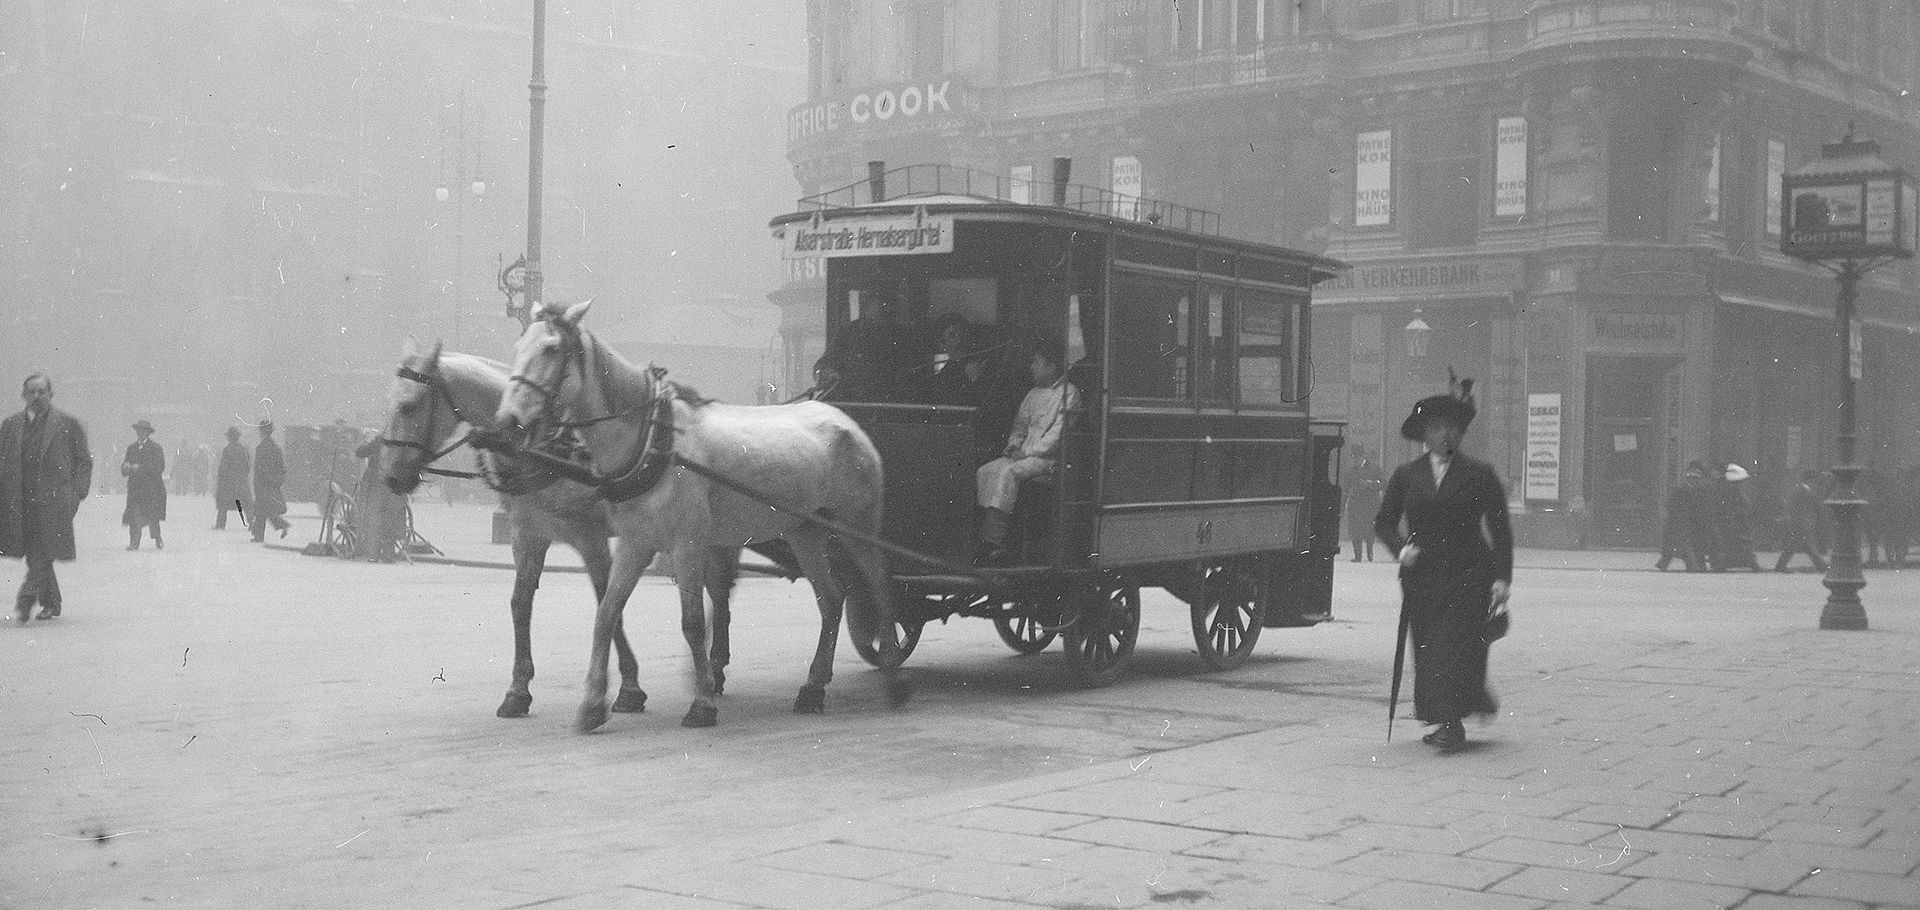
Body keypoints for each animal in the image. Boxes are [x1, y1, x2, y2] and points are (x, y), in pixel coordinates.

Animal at [374, 339, 741, 718]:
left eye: (409, 406)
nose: (390, 476)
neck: (542, 447)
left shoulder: (589, 536)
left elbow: (607, 603)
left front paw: (629, 686)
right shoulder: (528, 535)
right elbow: (520, 604)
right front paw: (518, 690)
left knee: (719, 592)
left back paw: (713, 669)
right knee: (720, 593)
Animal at [495, 299, 913, 733]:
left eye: (551, 350)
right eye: (519, 346)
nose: (508, 422)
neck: (654, 440)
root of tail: (845, 419)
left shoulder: (687, 544)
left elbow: (693, 622)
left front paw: (702, 702)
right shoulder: (635, 542)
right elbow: (607, 613)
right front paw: (594, 704)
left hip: (857, 524)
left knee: (880, 586)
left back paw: (892, 676)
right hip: (805, 531)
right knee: (830, 598)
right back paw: (813, 687)